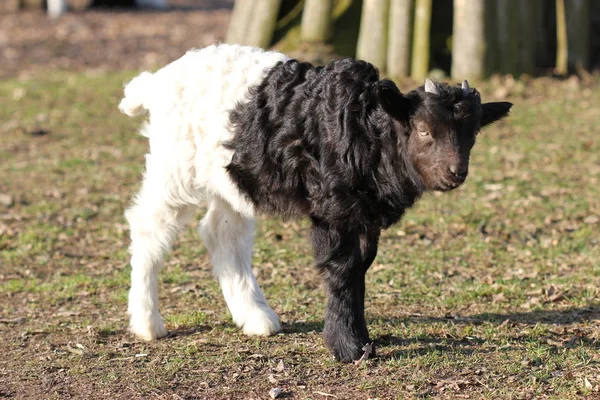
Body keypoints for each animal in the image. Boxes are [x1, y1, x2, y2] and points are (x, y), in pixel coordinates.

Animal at [119, 44, 512, 362]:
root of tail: (155, 82)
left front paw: (361, 340)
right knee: (149, 228)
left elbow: (361, 268)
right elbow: (342, 268)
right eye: (425, 130)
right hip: (174, 168)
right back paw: (147, 322)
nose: (456, 172)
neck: (366, 131)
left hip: (232, 176)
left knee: (222, 234)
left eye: (473, 134)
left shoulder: (364, 214)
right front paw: (347, 347)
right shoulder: (332, 209)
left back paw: (256, 317)